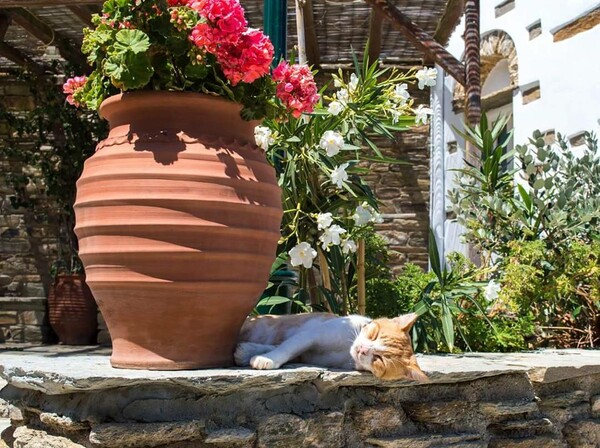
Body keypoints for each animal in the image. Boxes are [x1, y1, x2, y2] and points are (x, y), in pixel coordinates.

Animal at [234, 312, 426, 382]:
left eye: (379, 359)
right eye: (374, 334)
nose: (363, 349)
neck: (346, 350)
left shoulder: (307, 352)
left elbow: (283, 347)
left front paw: (251, 352)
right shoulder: (312, 334)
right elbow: (286, 348)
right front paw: (266, 358)